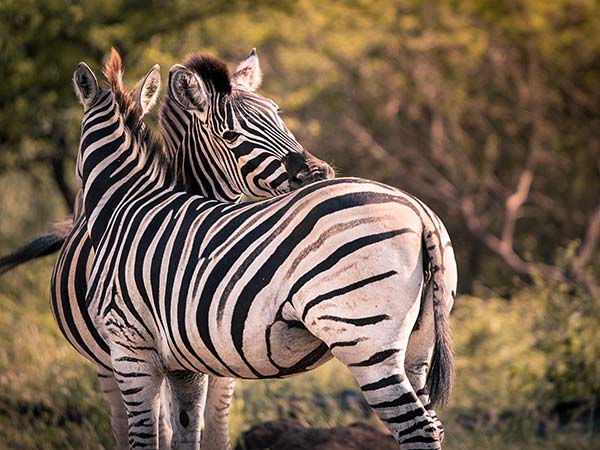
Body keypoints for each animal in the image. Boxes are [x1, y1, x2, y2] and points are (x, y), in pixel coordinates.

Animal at [3, 50, 332, 450]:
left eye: (278, 114)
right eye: (230, 135)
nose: (317, 173)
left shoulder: (220, 355)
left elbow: (214, 428)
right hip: (108, 361)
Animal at [72, 50, 458, 450]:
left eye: (278, 115)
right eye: (229, 135)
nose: (317, 173)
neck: (128, 202)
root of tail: (419, 212)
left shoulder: (130, 350)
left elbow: (146, 438)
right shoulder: (184, 362)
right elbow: (185, 431)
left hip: (365, 341)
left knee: (416, 426)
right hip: (418, 343)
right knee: (432, 422)